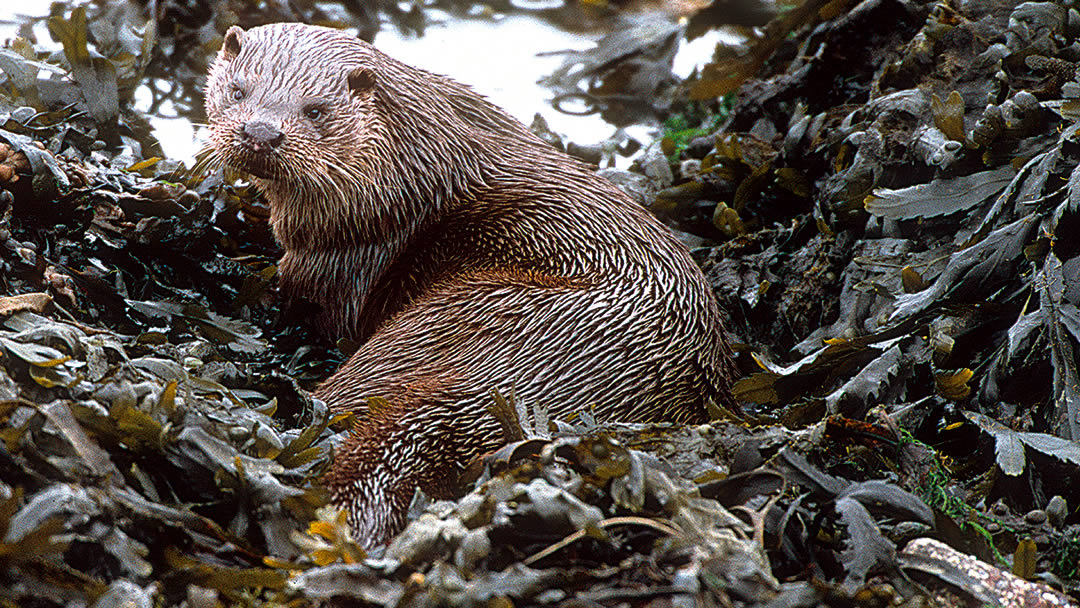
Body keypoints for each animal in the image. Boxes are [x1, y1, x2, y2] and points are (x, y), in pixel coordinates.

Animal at [205, 22, 737, 548]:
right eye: (238, 90)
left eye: (315, 110)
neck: (399, 180)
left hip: (457, 312)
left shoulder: (337, 260)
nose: (261, 132)